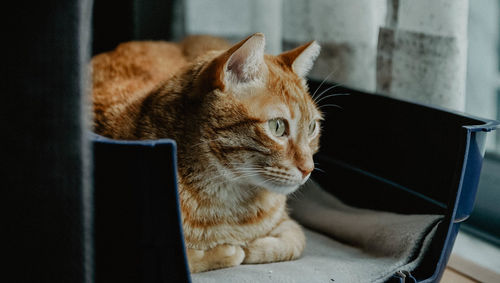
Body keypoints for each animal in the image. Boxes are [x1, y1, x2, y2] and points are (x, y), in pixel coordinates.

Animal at [92, 32, 322, 272]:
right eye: (277, 127)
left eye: (312, 127)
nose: (308, 169)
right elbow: (193, 257)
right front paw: (227, 251)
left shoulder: (288, 224)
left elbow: (293, 242)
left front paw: (250, 246)